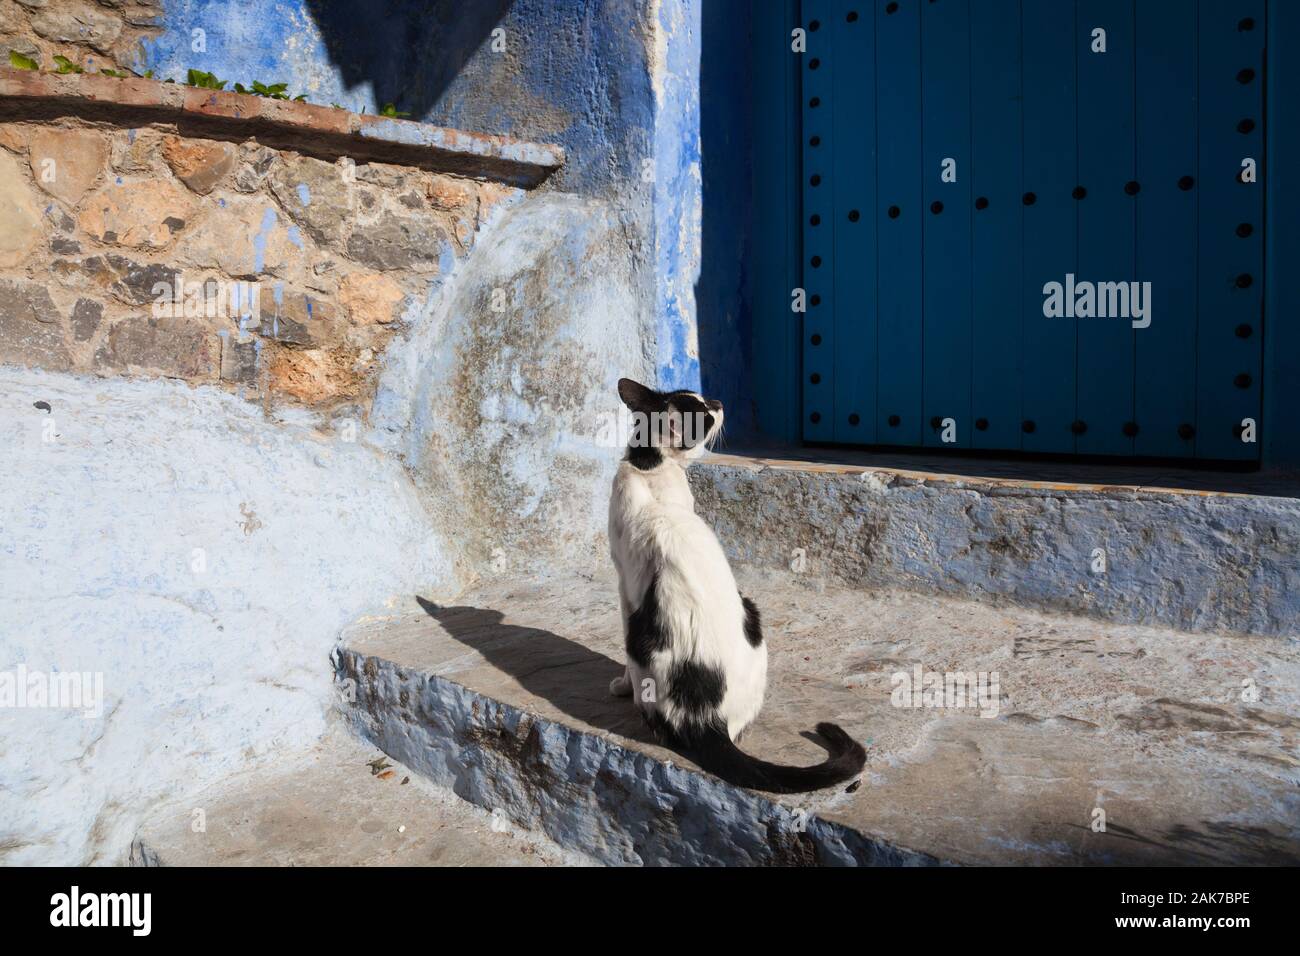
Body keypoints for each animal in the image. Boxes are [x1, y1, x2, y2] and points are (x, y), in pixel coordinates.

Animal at [605, 379, 868, 790]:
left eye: (704, 403)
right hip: (750, 613)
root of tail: (704, 720)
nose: (717, 400)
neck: (653, 467)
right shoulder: (625, 587)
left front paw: (620, 685)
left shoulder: (625, 587)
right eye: (705, 413)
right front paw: (620, 684)